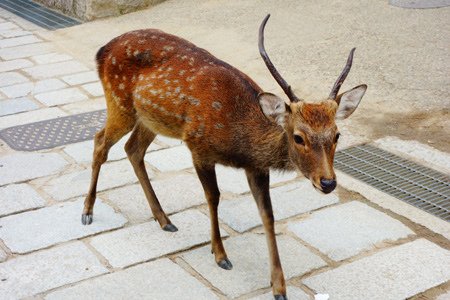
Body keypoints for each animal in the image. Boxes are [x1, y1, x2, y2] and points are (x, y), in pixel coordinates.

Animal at [82, 13, 368, 298]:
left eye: (337, 135)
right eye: (298, 137)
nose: (328, 182)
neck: (241, 141)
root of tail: (101, 50)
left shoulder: (256, 167)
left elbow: (267, 214)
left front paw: (279, 286)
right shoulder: (198, 147)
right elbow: (213, 197)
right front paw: (220, 254)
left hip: (150, 118)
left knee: (133, 149)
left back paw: (164, 219)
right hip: (119, 103)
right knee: (100, 142)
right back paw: (87, 212)